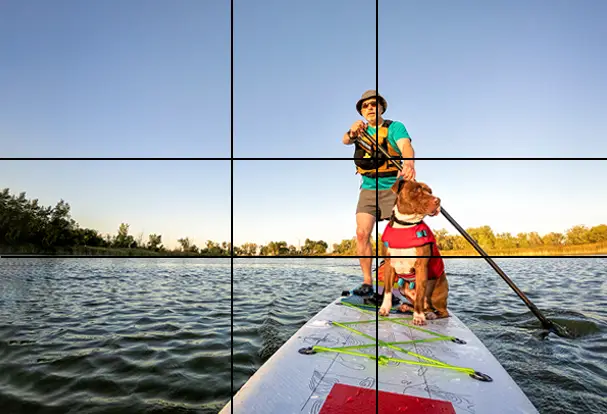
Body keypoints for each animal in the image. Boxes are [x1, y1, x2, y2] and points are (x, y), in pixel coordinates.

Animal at [380, 180, 452, 326]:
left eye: (430, 191)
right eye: (416, 190)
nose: (438, 200)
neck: (405, 225)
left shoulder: (421, 267)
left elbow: (419, 295)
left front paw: (418, 317)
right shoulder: (389, 265)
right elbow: (388, 291)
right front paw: (384, 309)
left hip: (436, 294)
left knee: (442, 311)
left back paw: (430, 314)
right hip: (404, 288)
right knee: (423, 306)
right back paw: (406, 307)